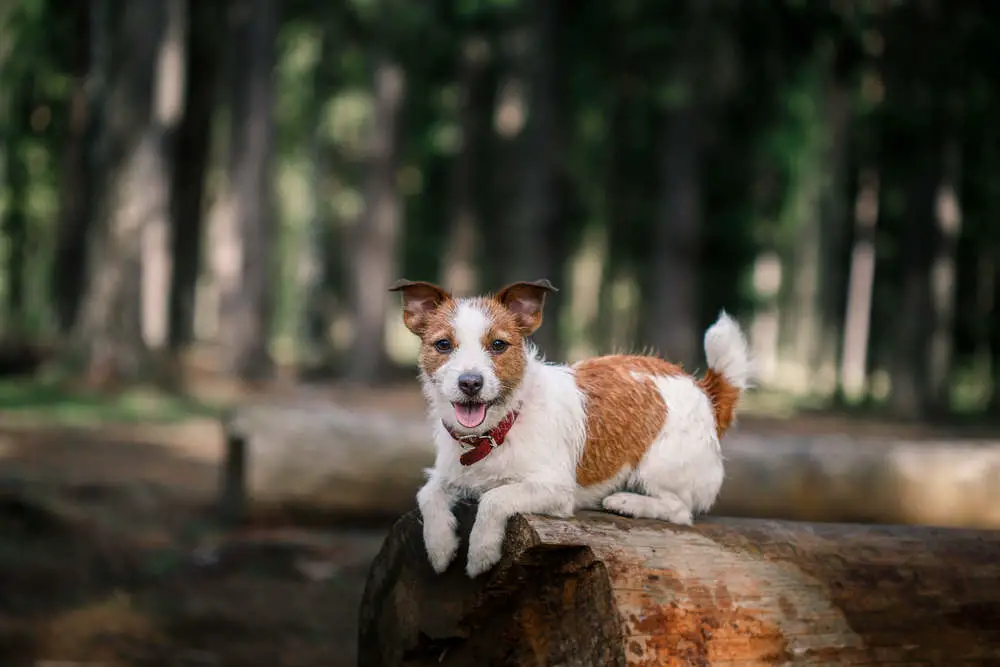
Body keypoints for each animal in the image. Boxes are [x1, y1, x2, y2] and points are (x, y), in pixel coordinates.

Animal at [388, 278, 752, 580]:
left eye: (498, 345)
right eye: (443, 345)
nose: (470, 382)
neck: (497, 430)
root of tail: (705, 392)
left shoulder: (555, 489)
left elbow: (493, 497)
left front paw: (481, 553)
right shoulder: (450, 474)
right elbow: (428, 494)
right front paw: (439, 546)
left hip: (659, 465)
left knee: (680, 510)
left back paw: (629, 502)